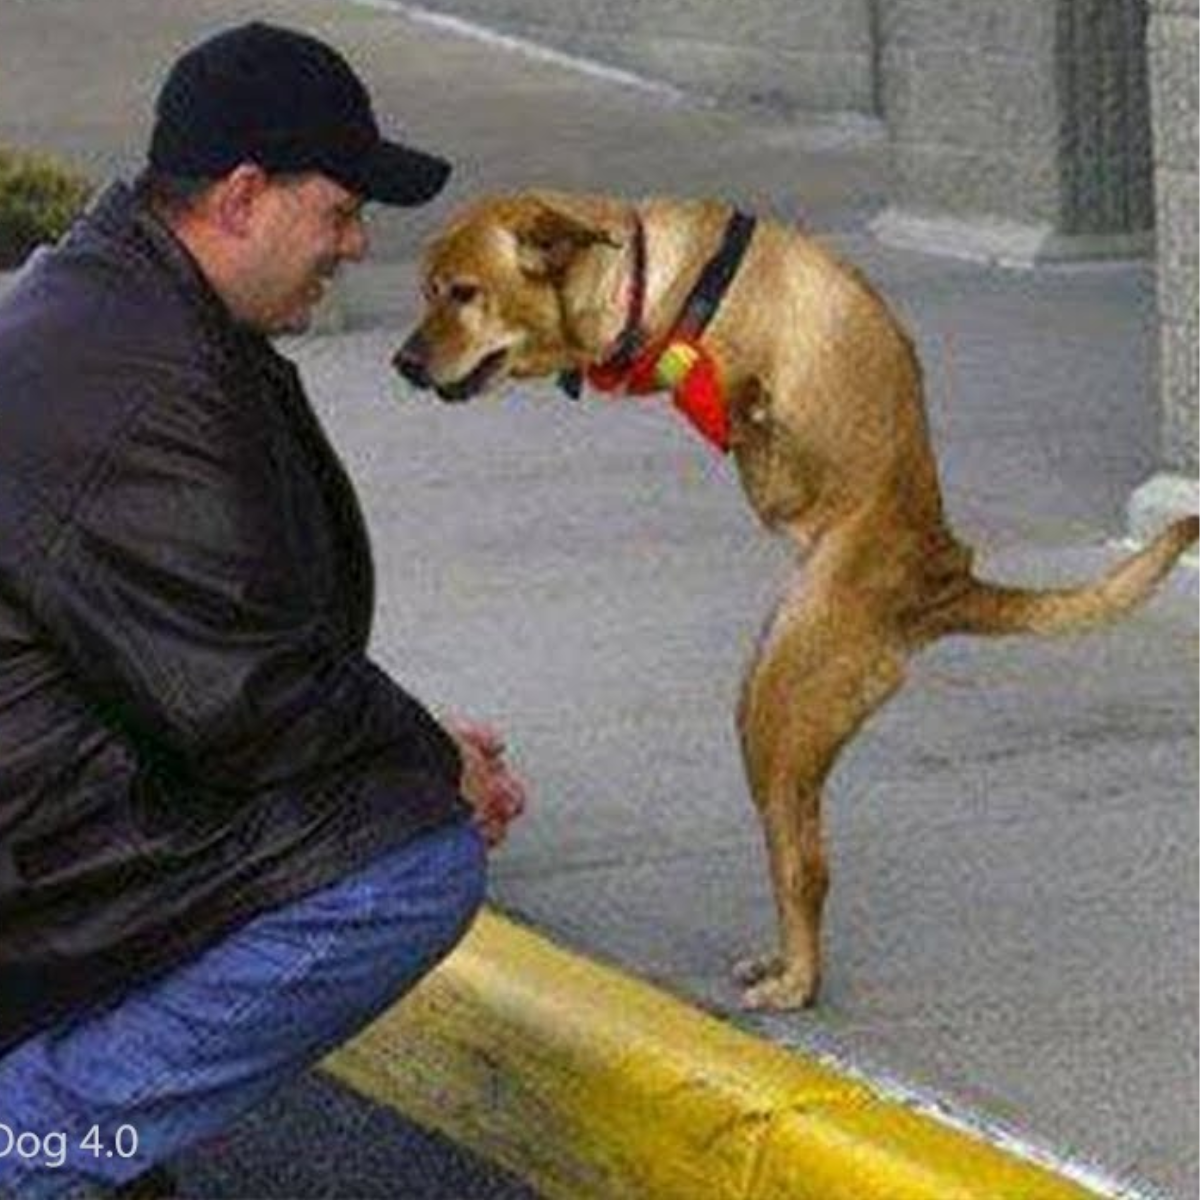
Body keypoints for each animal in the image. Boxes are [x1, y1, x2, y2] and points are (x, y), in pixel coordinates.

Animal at [396, 192, 1200, 1008]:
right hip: (769, 701)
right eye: (429, 290)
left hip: (779, 712)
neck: (651, 278)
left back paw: (797, 981)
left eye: (462, 292)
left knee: (806, 868)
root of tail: (945, 579)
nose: (403, 363)